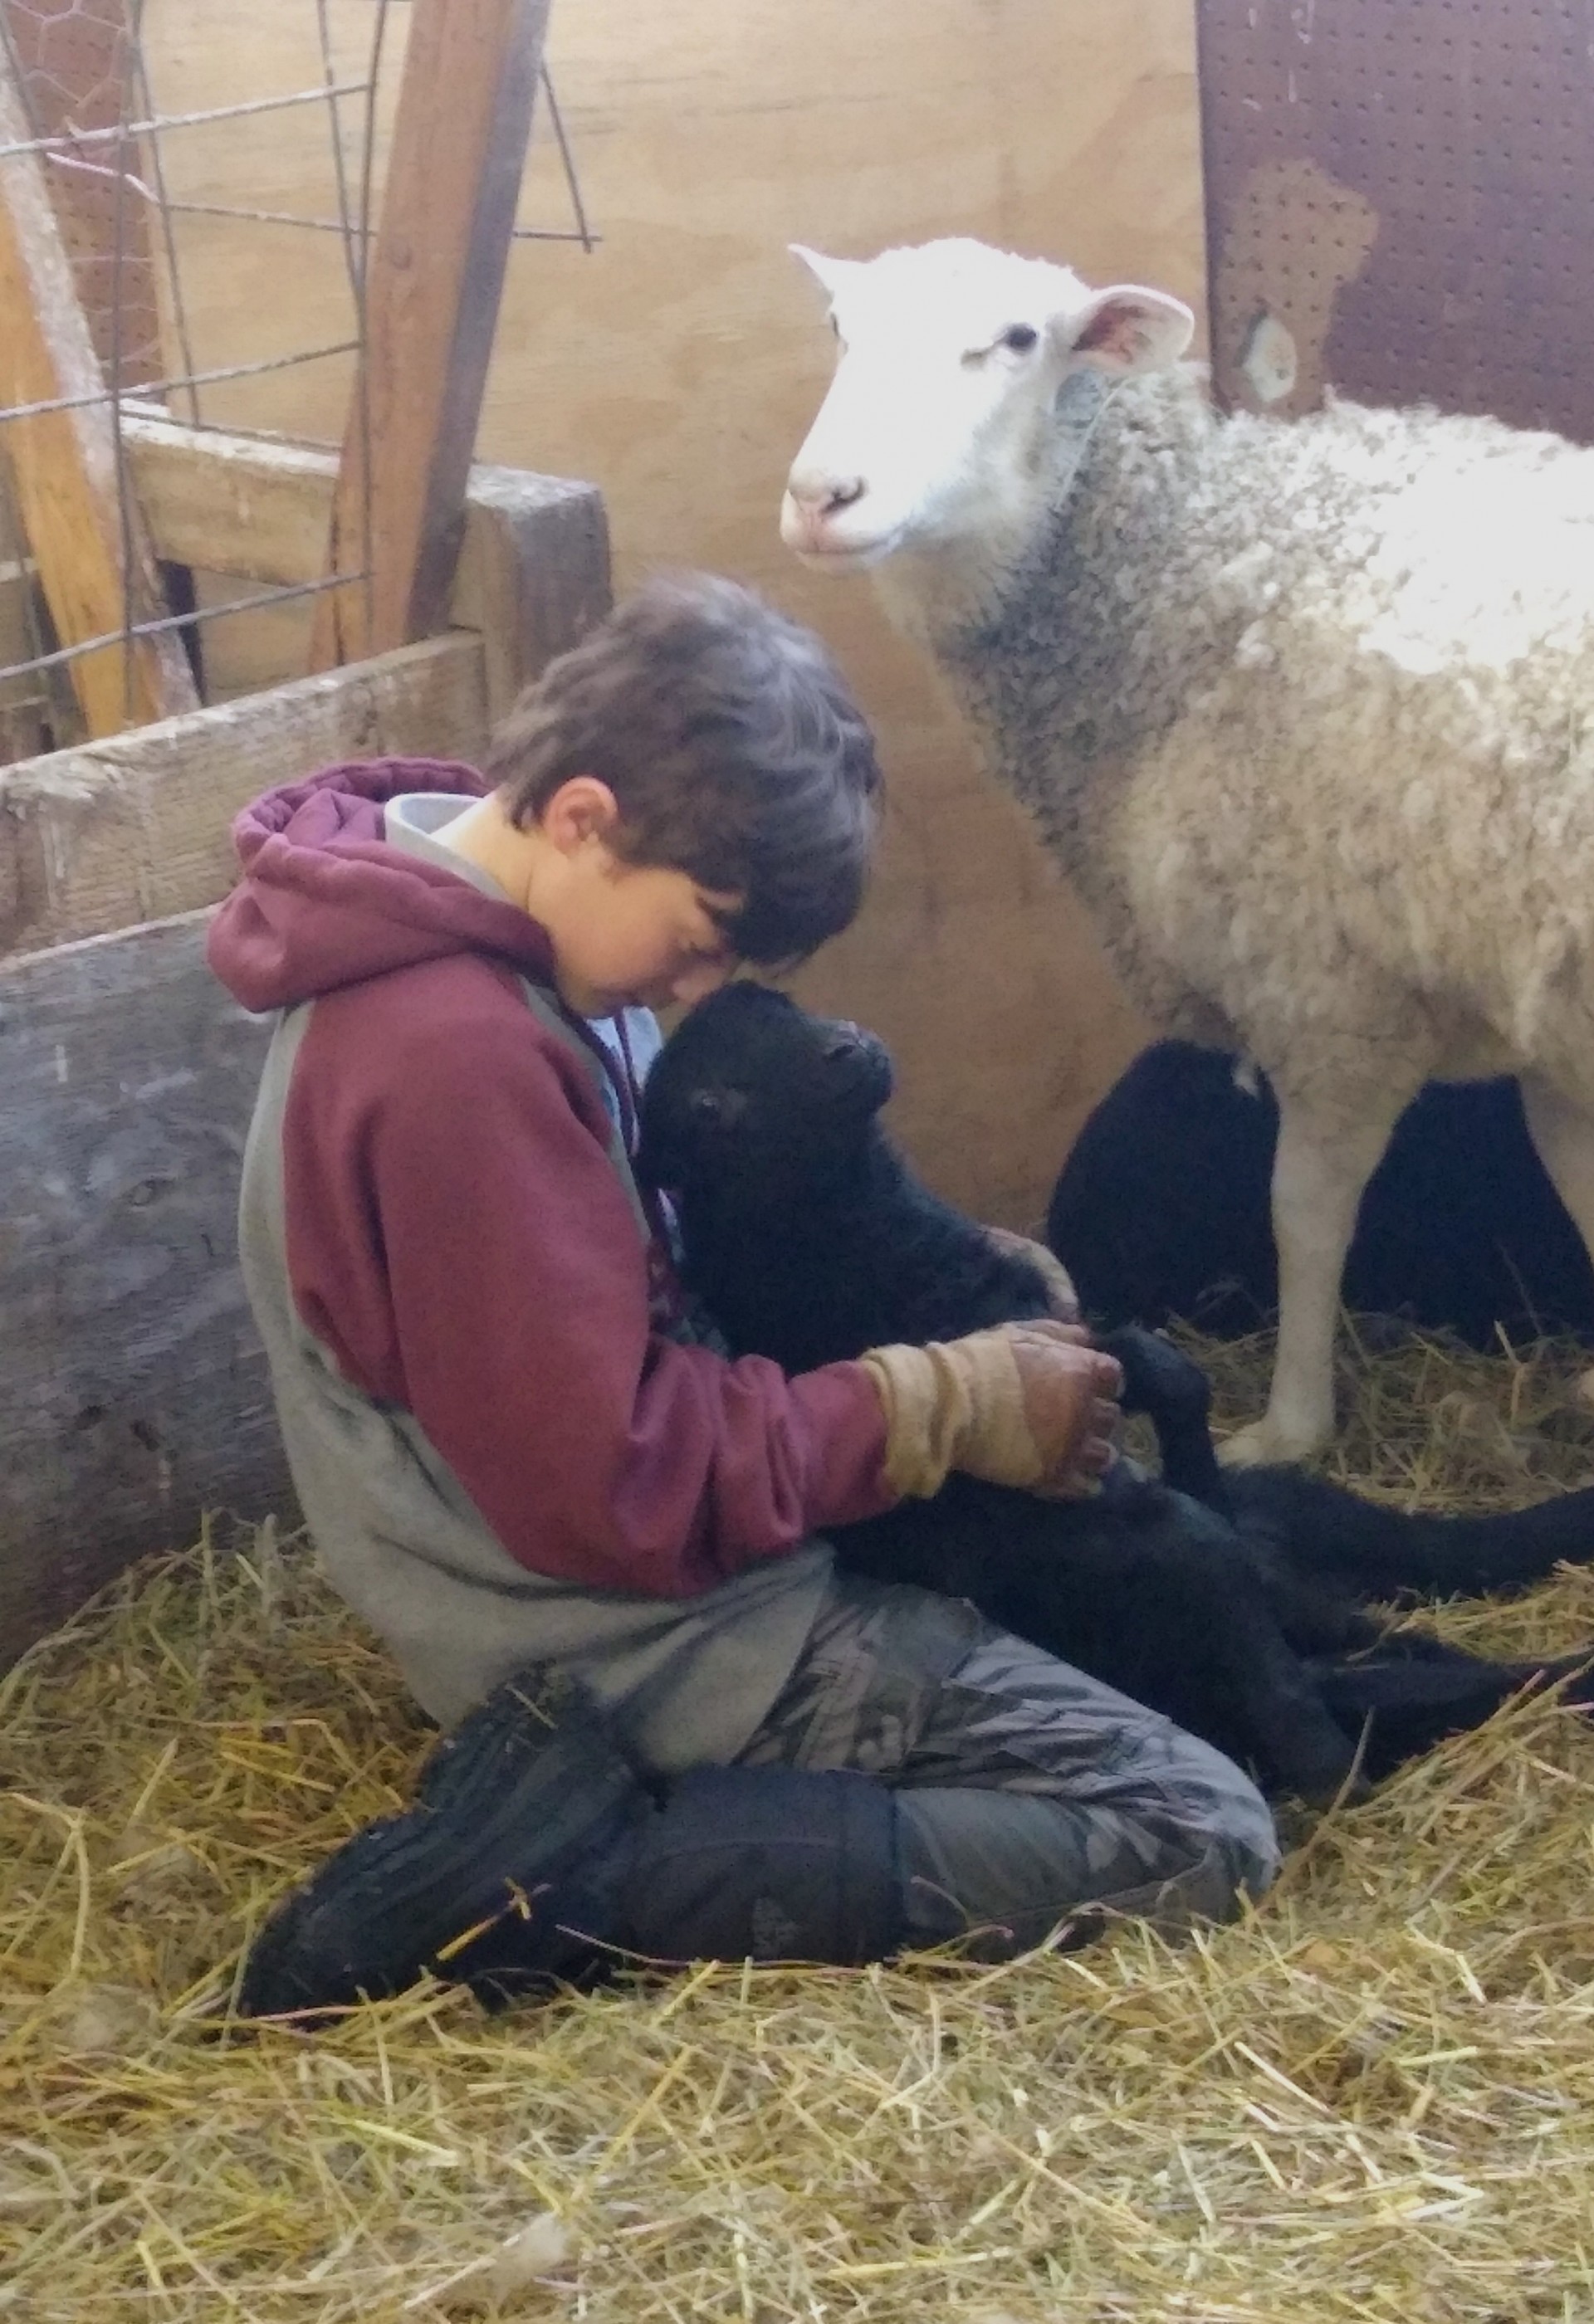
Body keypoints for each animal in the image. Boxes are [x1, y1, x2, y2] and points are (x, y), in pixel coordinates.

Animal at [636, 982, 1594, 1801]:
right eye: (712, 1106)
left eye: (781, 1003)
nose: (847, 1049)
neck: (853, 1241)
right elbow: (1192, 1538)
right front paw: (1321, 1759)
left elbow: (1162, 1375)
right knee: (1443, 1663)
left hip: (1308, 1516)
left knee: (1441, 1565)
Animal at [779, 235, 1594, 1465]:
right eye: (838, 327)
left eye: (1018, 340)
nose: (824, 497)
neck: (1197, 553)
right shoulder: (1535, 1014)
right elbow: (1578, 1180)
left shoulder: (1323, 992)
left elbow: (1303, 1216)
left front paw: (1290, 1428)